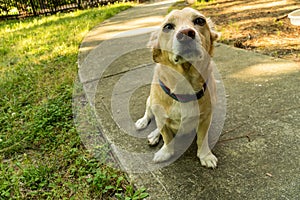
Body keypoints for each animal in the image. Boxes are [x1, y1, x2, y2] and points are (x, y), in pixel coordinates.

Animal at [135, 7, 219, 168]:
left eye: (200, 20)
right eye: (167, 26)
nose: (186, 33)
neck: (185, 85)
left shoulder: (206, 118)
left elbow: (202, 139)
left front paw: (205, 155)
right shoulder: (162, 118)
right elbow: (167, 137)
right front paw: (165, 152)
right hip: (150, 101)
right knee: (150, 115)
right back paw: (147, 126)